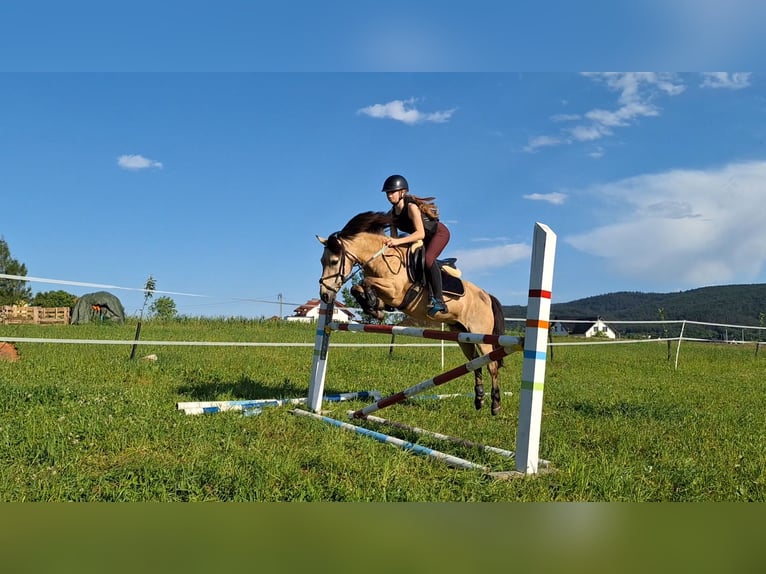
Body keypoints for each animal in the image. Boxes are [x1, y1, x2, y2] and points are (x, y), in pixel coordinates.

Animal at [318, 209, 510, 416]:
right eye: (322, 261)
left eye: (334, 261)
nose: (325, 295)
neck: (382, 259)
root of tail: (487, 296)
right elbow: (357, 287)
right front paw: (373, 307)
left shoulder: (395, 292)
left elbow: (366, 281)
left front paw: (372, 304)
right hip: (462, 334)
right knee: (476, 362)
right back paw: (479, 399)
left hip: (480, 334)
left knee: (491, 365)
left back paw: (495, 405)